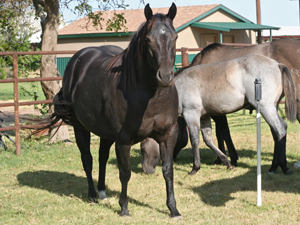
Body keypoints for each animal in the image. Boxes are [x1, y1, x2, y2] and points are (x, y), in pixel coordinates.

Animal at [40, 3, 180, 218]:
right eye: (148, 39)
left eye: (175, 37)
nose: (165, 76)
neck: (151, 96)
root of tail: (77, 61)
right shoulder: (123, 140)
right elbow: (125, 172)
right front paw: (124, 208)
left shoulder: (169, 135)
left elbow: (167, 170)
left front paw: (173, 209)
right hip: (81, 128)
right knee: (88, 159)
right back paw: (92, 195)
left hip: (105, 132)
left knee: (102, 157)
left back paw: (102, 192)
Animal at [142, 54, 296, 176]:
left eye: (143, 148)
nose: (146, 170)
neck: (178, 88)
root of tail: (277, 64)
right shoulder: (204, 117)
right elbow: (209, 140)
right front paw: (227, 162)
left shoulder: (191, 115)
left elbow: (195, 140)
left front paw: (195, 168)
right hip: (271, 108)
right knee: (277, 132)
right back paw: (274, 167)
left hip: (266, 108)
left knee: (280, 129)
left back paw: (282, 166)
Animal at [191, 38, 300, 168]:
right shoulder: (217, 111)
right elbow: (219, 134)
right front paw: (220, 159)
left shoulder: (217, 111)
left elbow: (224, 132)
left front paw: (231, 159)